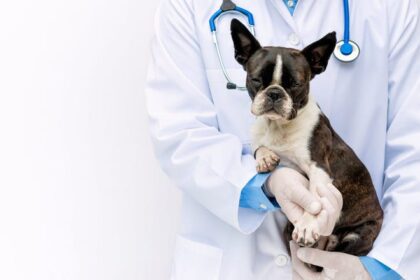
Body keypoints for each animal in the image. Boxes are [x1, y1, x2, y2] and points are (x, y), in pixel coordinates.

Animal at [230, 19, 384, 260]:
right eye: (256, 80)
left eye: (295, 84)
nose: (274, 93)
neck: (278, 126)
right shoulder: (259, 135)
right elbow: (258, 147)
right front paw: (265, 158)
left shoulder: (319, 168)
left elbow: (317, 199)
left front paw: (308, 225)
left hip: (359, 235)